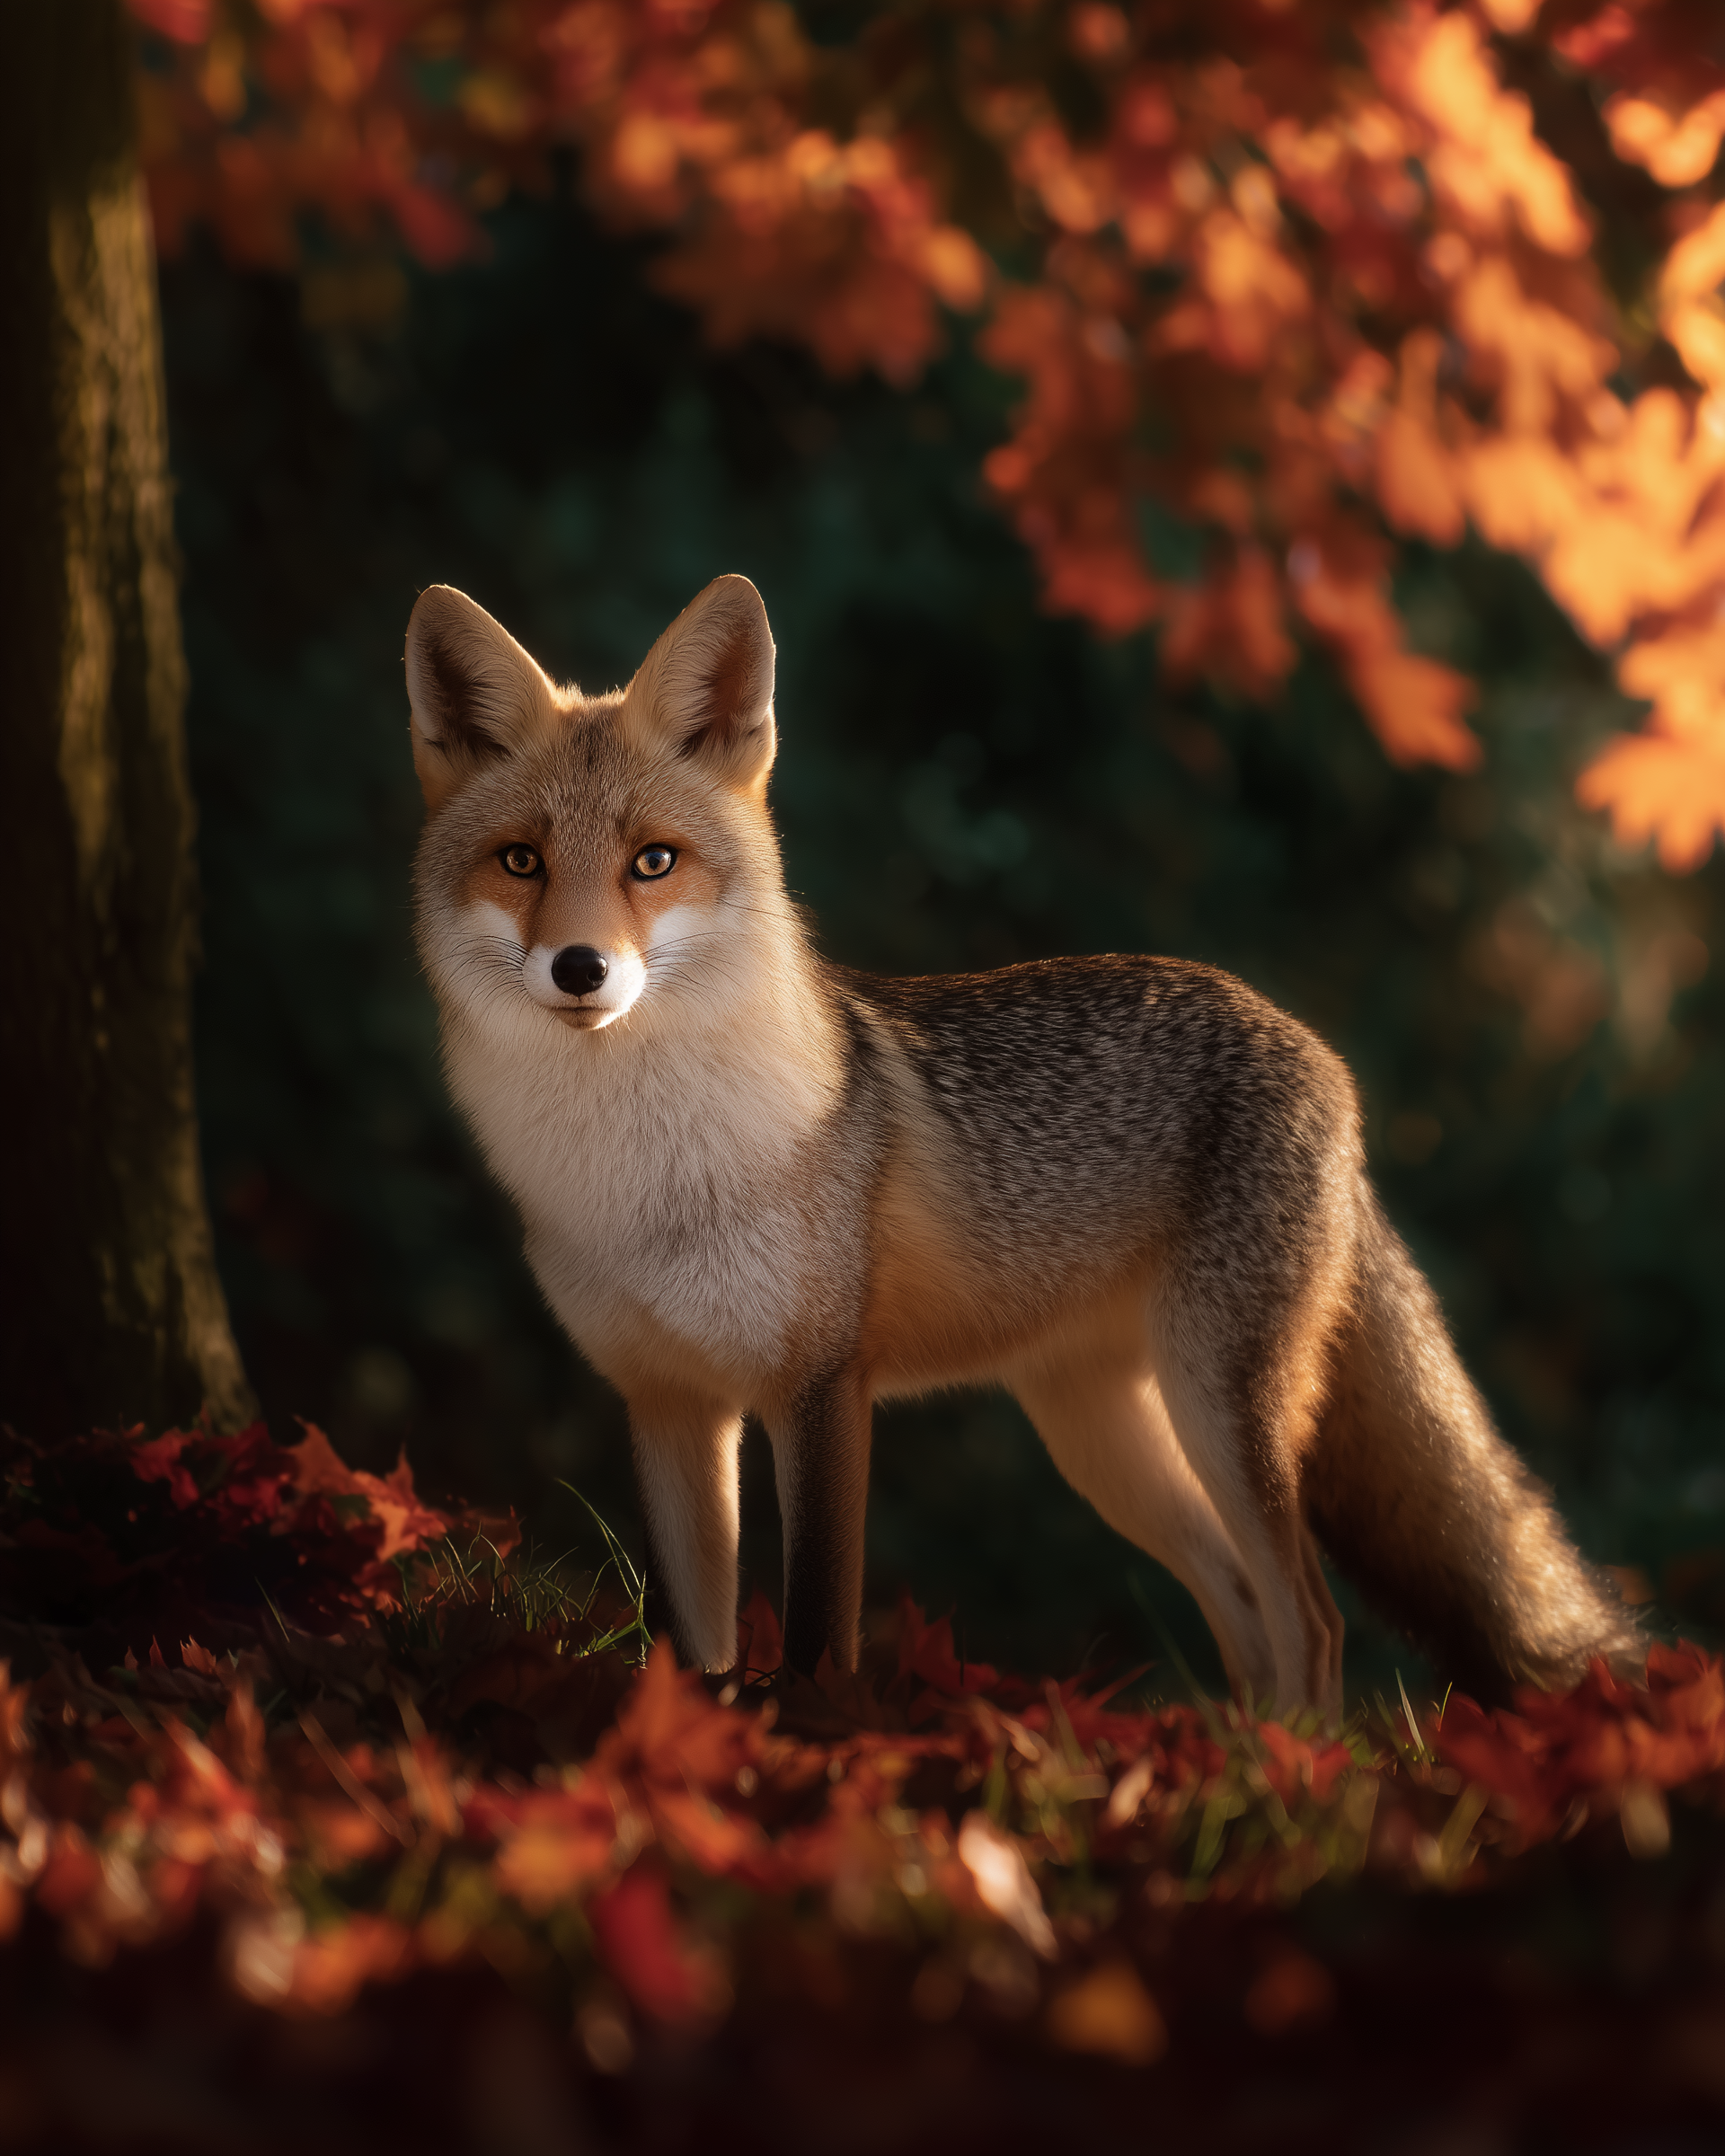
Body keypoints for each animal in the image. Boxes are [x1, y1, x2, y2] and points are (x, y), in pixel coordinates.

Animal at [405, 571, 1642, 1716]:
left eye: (653, 863)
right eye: (521, 862)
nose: (581, 969)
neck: (645, 1183)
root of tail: (1309, 1045)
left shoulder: (821, 1388)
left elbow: (814, 1636)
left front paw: (811, 1737)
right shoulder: (667, 1404)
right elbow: (687, 1646)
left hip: (1218, 1409)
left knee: (1314, 1622)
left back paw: (1301, 1769)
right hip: (1102, 1443)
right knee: (1247, 1614)